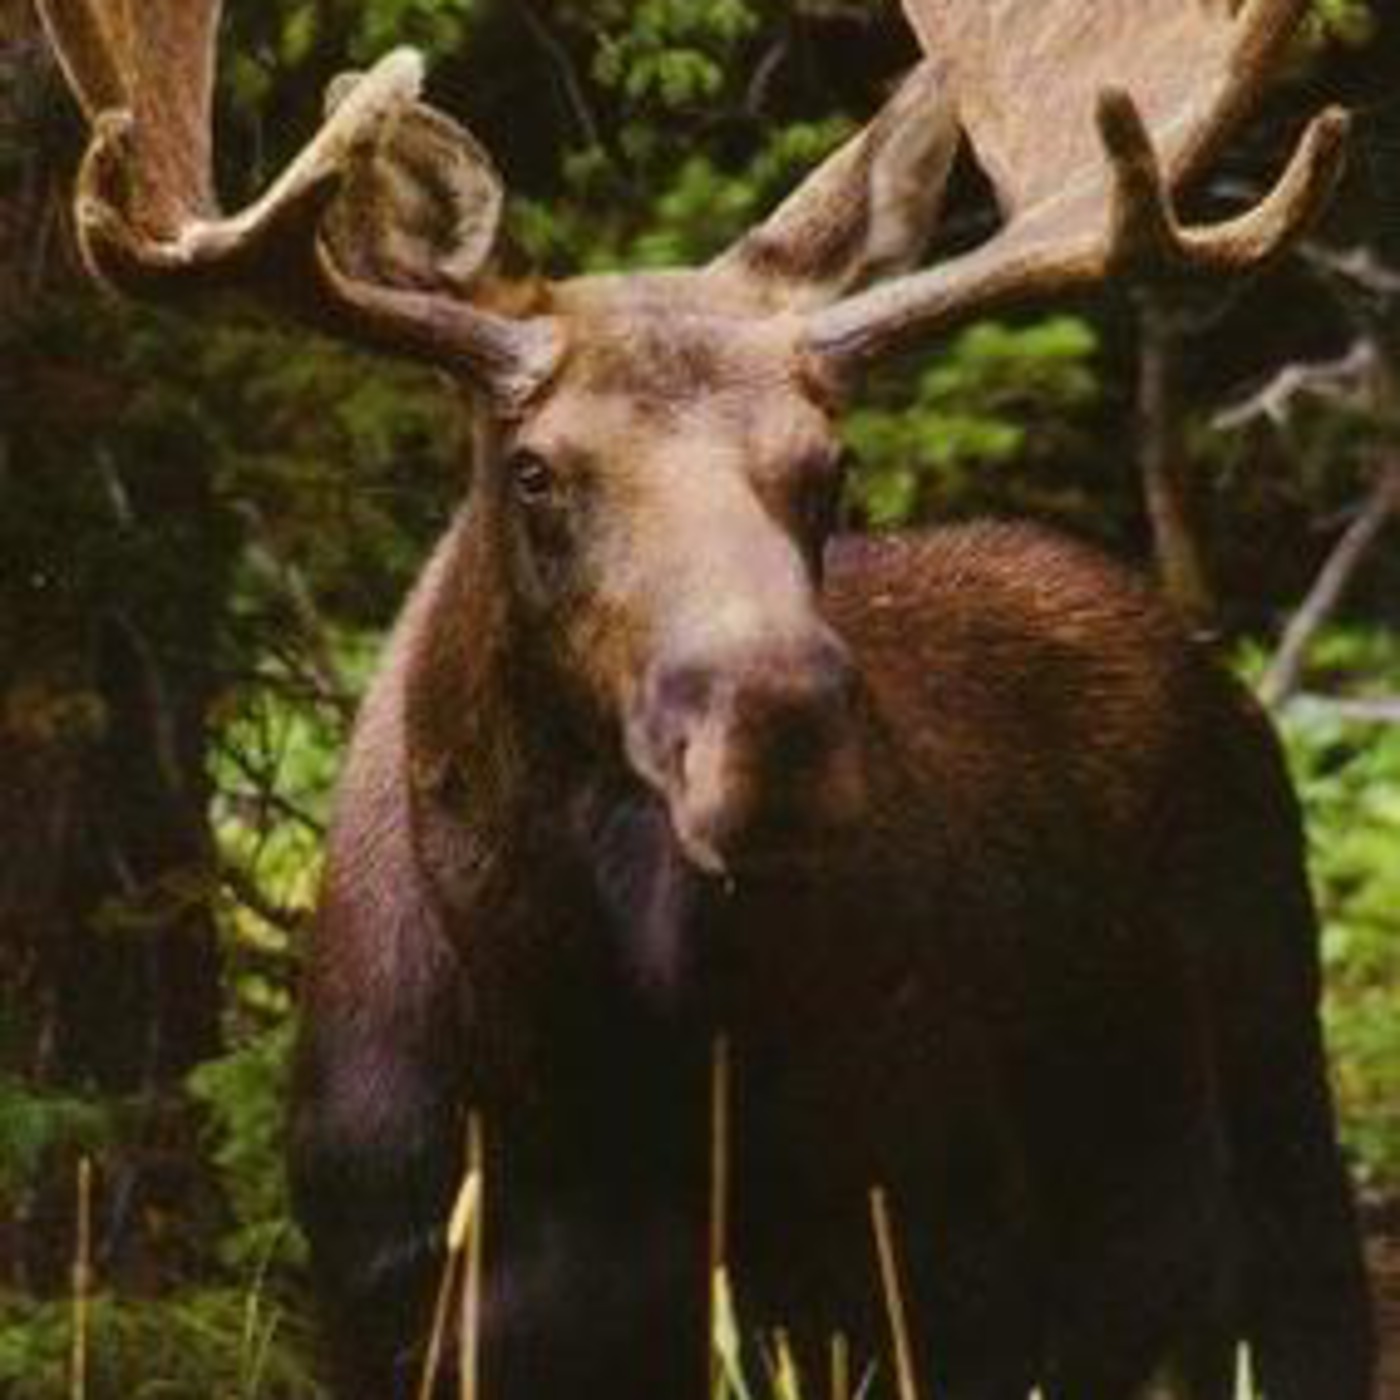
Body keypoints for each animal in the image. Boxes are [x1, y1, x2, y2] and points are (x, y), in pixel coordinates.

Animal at [37, 0, 1375, 1397]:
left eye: (829, 463)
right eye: (534, 469)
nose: (775, 717)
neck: (586, 1077)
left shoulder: (935, 1268)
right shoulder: (383, 1299)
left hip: (1280, 1152)